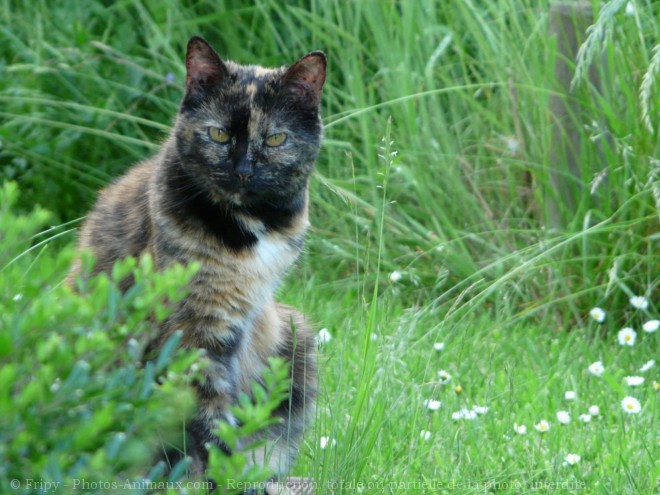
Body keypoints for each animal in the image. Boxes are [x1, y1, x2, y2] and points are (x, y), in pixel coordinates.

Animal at [68, 36, 326, 486]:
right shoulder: (194, 331)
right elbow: (204, 419)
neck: (248, 231)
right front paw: (201, 480)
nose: (243, 171)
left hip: (293, 330)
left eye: (276, 139)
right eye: (219, 134)